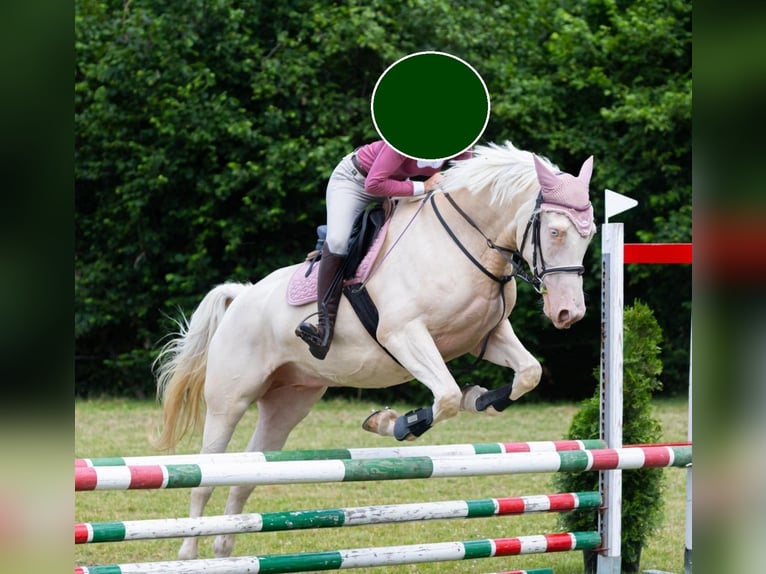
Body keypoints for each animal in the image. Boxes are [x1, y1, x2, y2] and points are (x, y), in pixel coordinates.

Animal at [154, 142, 600, 560]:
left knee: (248, 471)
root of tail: (242, 296)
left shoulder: (485, 336)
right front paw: (395, 423)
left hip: (288, 403)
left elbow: (527, 373)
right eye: (555, 232)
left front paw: (480, 399)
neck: (466, 240)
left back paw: (225, 546)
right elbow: (446, 396)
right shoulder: (404, 334)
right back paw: (189, 553)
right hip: (230, 399)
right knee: (206, 474)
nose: (569, 313)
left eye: (590, 233)